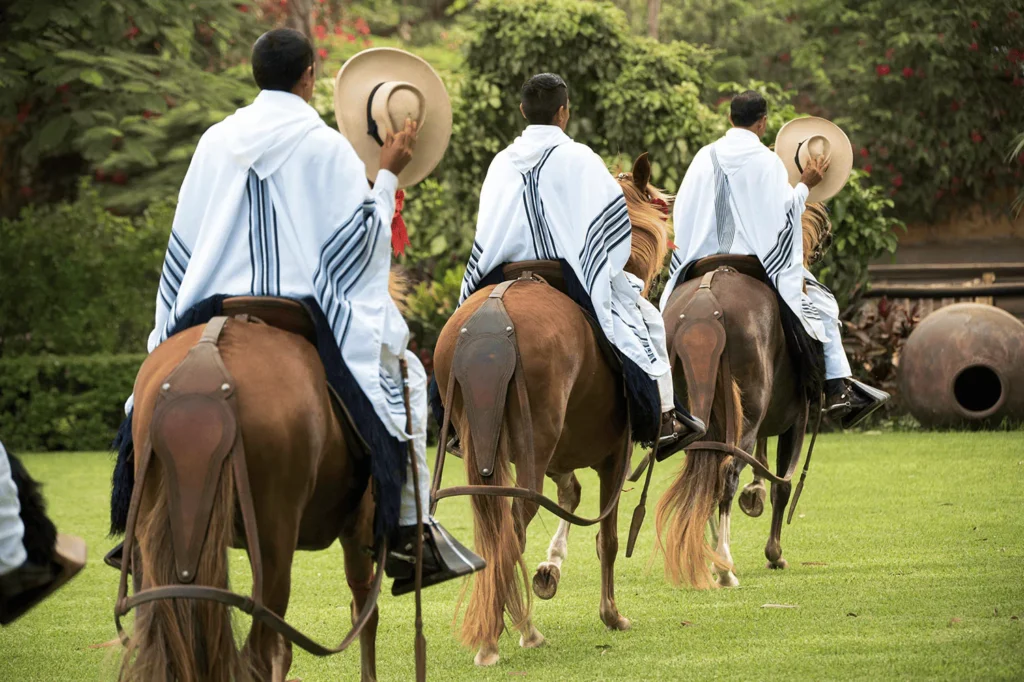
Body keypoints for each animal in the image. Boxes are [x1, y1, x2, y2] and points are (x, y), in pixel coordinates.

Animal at [432, 152, 671, 663]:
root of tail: (493, 317)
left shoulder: (559, 458)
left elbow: (570, 498)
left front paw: (550, 571)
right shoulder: (614, 456)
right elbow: (607, 538)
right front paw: (611, 614)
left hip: (495, 450)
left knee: (499, 530)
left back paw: (510, 624)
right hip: (532, 452)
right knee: (511, 530)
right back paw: (508, 634)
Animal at [655, 202, 831, 589]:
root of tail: (706, 301)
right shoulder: (796, 420)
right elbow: (783, 484)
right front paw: (774, 553)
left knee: (707, 469)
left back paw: (711, 559)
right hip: (747, 414)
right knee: (727, 472)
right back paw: (724, 566)